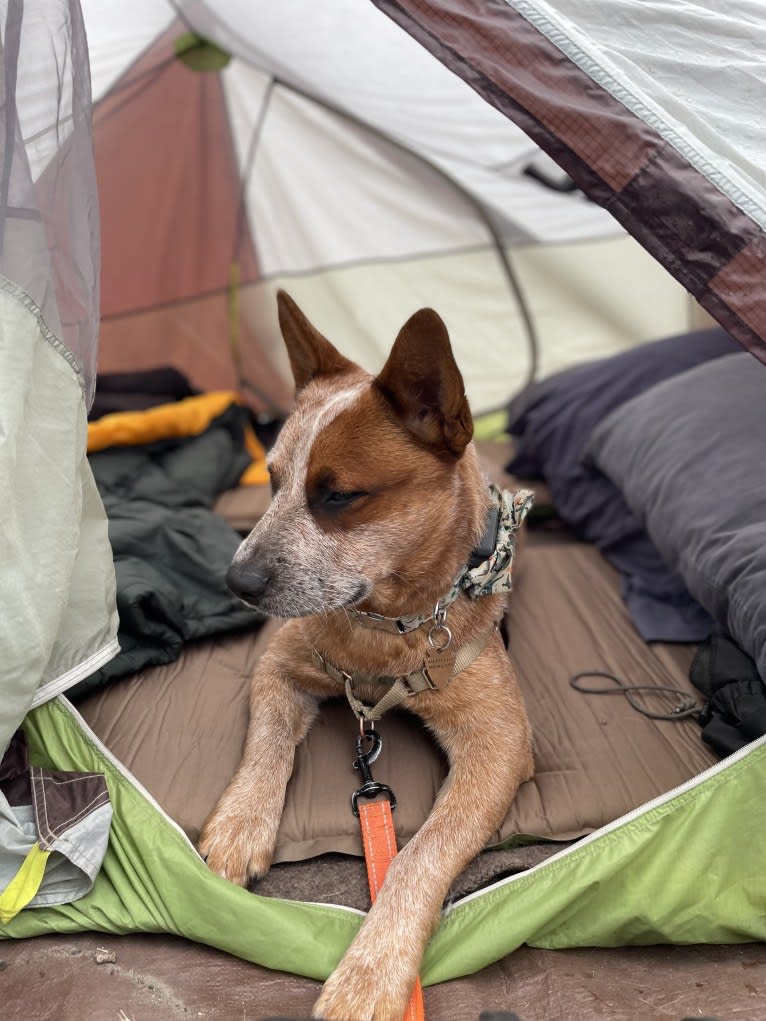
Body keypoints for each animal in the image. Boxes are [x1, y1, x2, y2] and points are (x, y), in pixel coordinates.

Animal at [198, 289, 535, 1021]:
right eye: (272, 481)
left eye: (338, 494)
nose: (236, 581)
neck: (386, 626)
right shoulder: (280, 661)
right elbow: (265, 742)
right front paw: (239, 826)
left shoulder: (501, 741)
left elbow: (419, 853)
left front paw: (371, 972)